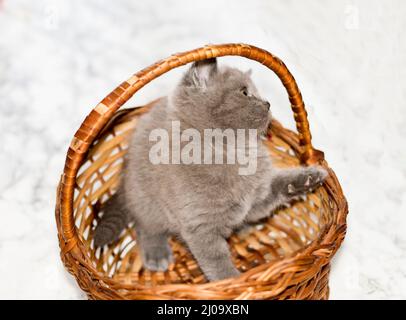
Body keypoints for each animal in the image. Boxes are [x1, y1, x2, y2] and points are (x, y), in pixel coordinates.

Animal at [94, 58, 326, 282]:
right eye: (245, 92)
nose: (267, 103)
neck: (233, 152)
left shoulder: (257, 200)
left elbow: (280, 185)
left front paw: (310, 178)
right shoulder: (200, 225)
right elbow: (216, 260)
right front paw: (232, 283)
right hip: (146, 200)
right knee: (145, 226)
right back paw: (157, 254)